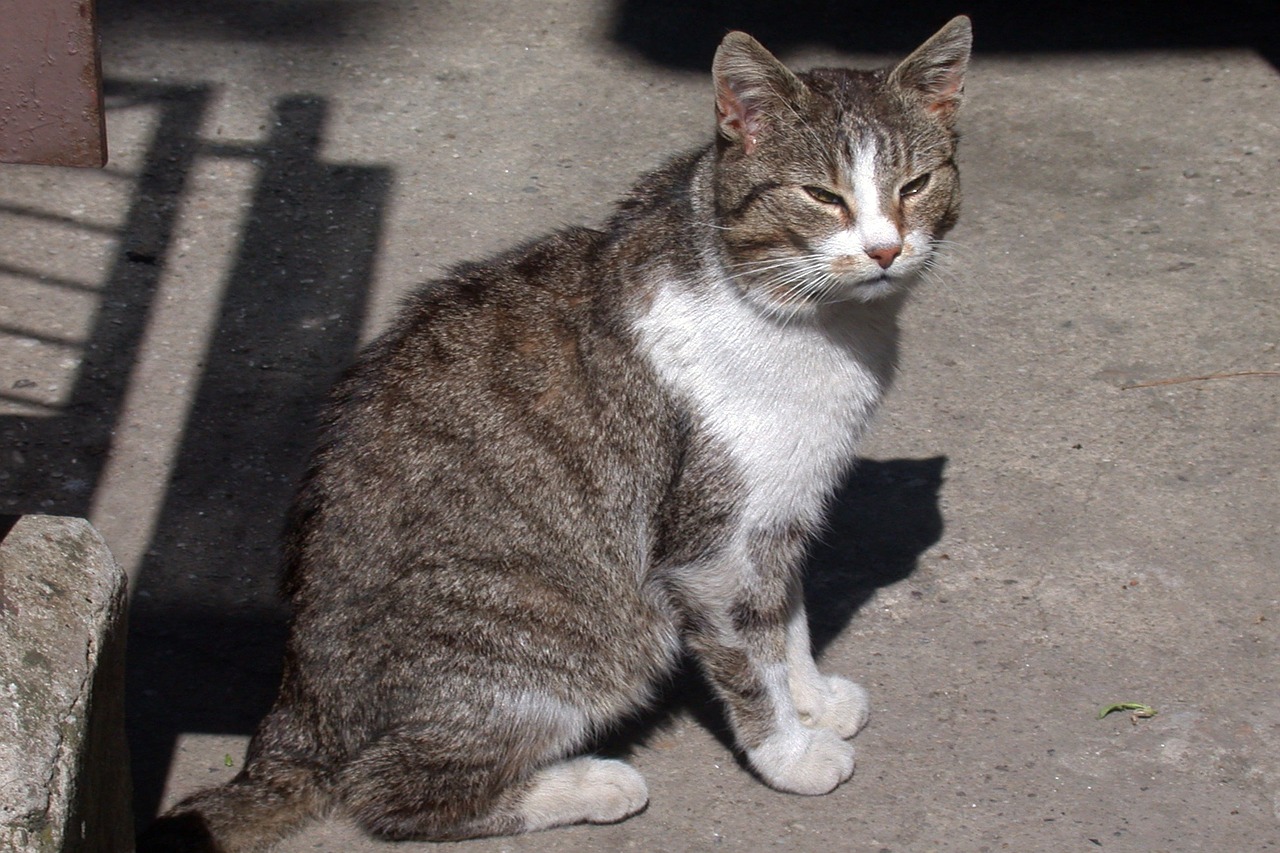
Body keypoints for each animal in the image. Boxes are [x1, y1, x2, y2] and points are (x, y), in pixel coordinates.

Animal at [142, 16, 967, 845]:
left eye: (916, 186)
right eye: (821, 196)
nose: (885, 249)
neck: (814, 322)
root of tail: (299, 702)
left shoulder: (779, 516)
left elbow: (787, 622)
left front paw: (813, 697)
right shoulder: (715, 548)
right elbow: (751, 654)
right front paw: (791, 751)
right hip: (566, 642)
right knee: (389, 790)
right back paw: (591, 781)